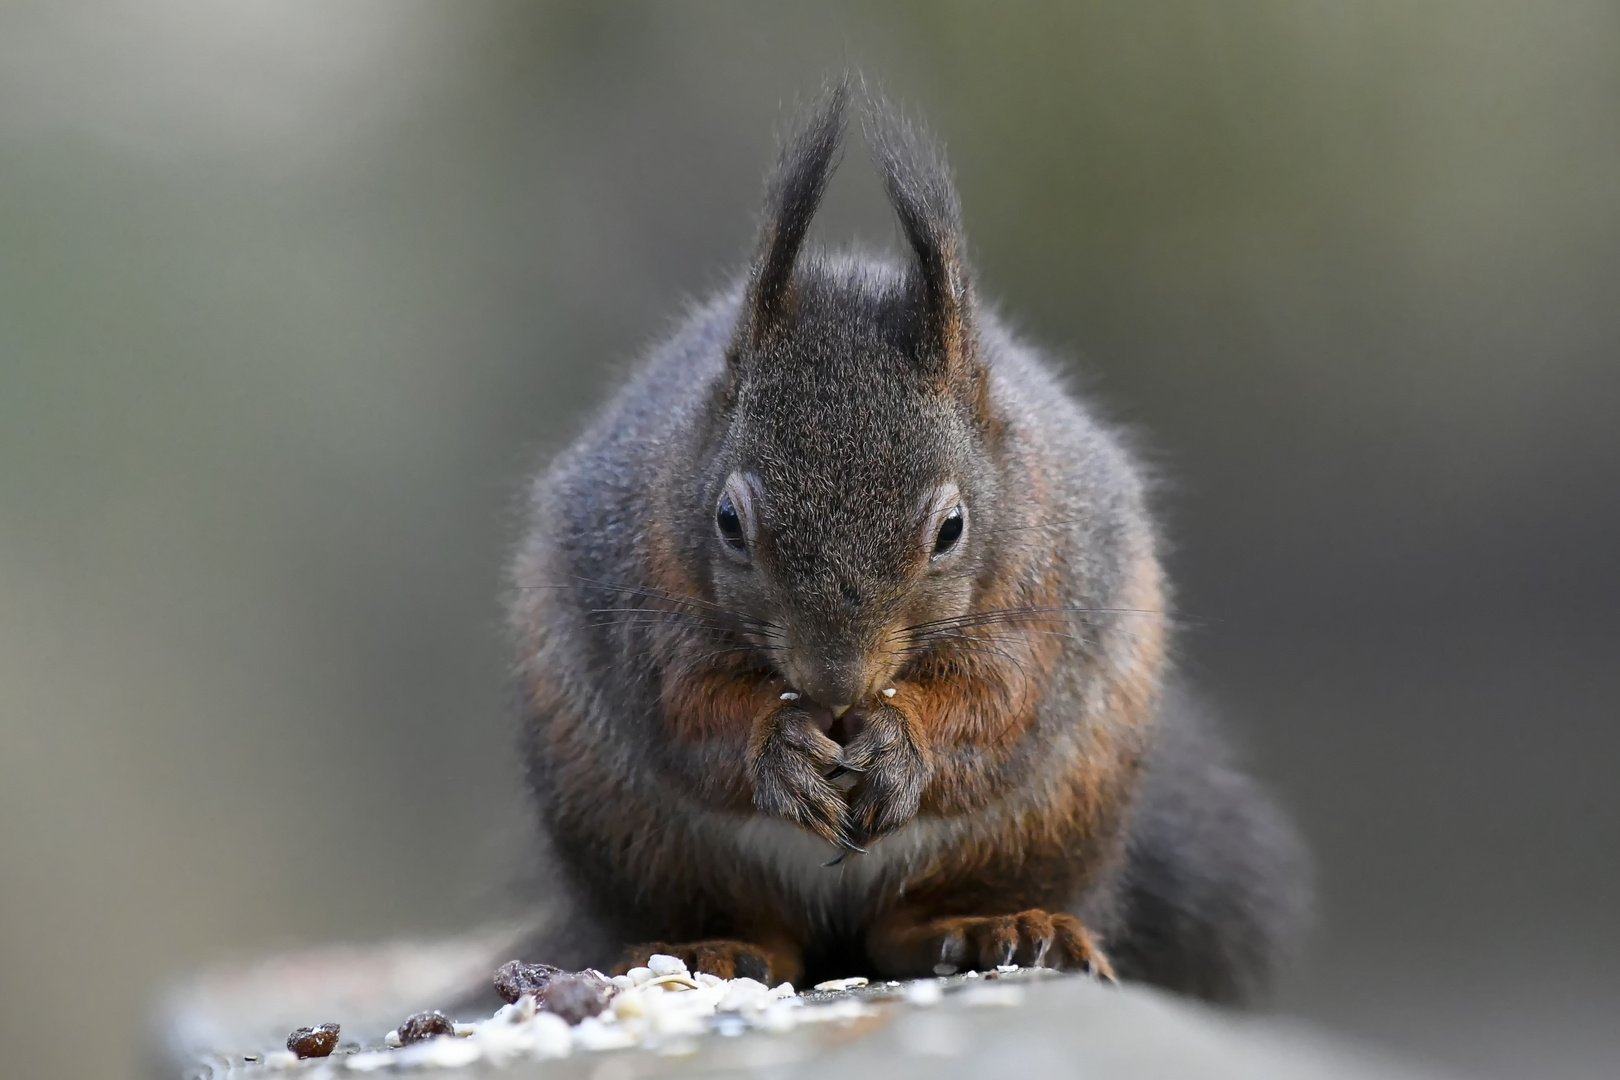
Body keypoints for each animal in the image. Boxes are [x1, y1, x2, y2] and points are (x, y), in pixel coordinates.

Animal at [511, 82, 1308, 1003]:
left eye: (952, 530)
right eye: (727, 522)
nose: (836, 683)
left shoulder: (1043, 586)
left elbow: (998, 700)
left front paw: (904, 742)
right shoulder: (642, 585)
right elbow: (687, 701)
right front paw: (777, 746)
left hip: (1053, 816)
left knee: (913, 924)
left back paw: (996, 926)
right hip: (632, 832)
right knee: (751, 924)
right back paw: (711, 947)